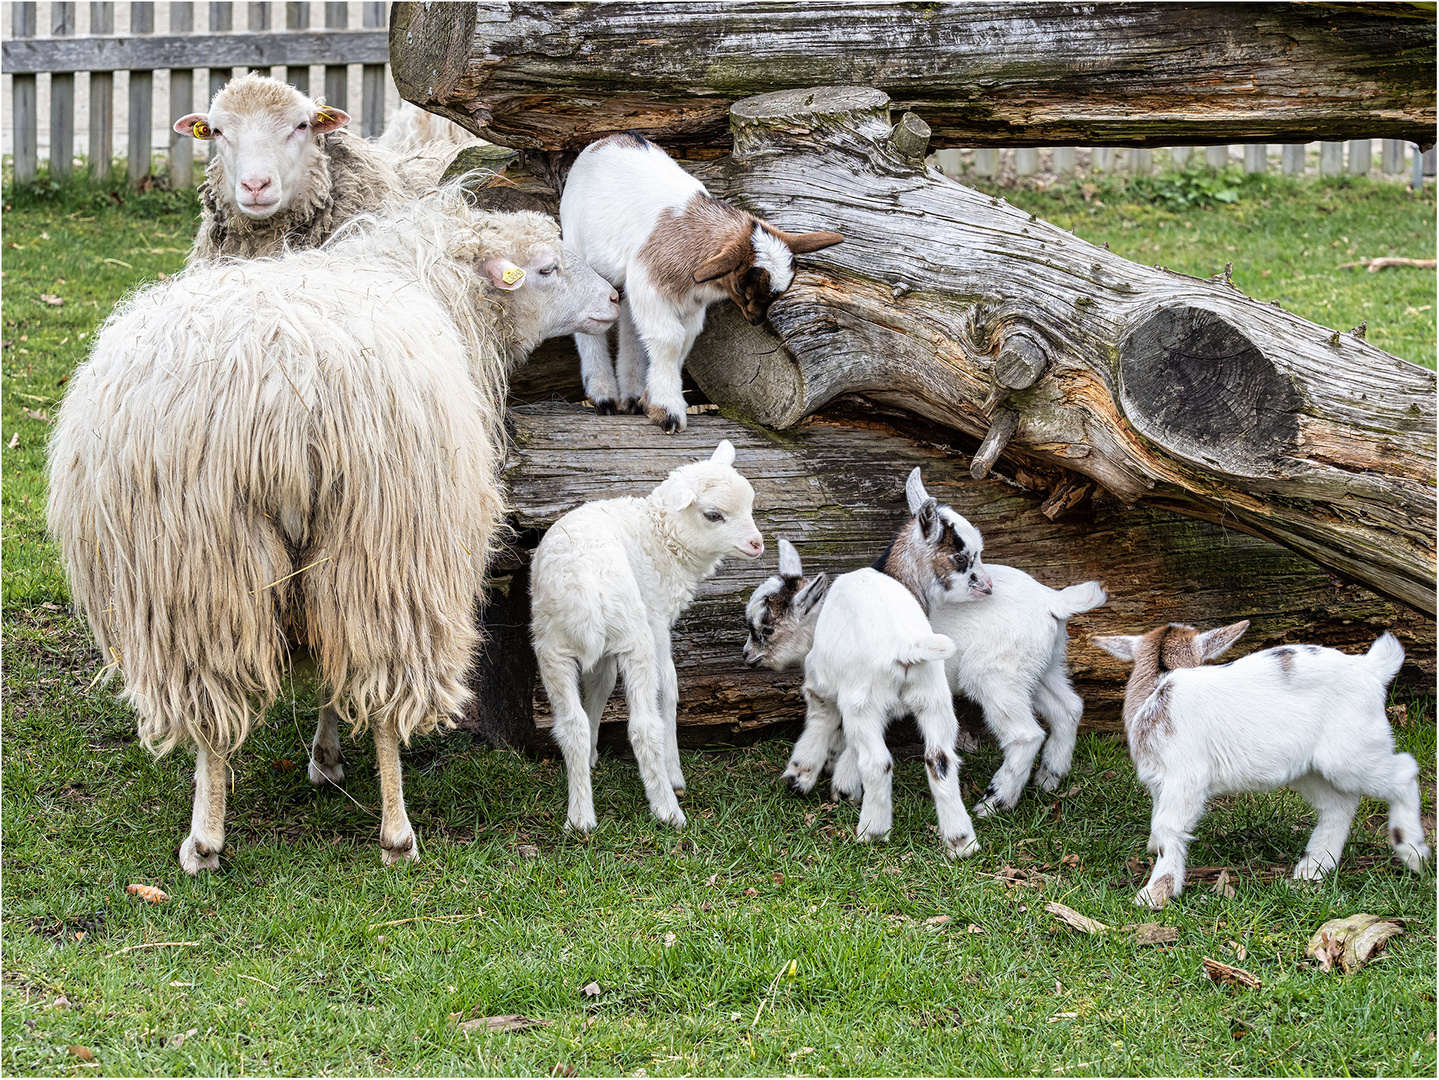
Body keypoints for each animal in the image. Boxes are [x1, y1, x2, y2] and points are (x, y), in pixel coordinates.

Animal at [43, 185, 618, 874]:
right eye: (547, 269)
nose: (616, 299)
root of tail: (276, 396)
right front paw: (331, 759)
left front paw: (321, 756)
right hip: (385, 544)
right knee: (387, 693)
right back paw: (397, 833)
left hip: (197, 568)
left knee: (211, 705)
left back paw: (205, 839)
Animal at [529, 442, 771, 834]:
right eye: (713, 515)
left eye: (750, 504)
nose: (756, 544)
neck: (661, 536)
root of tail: (583, 583)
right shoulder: (656, 619)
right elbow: (667, 687)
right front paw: (674, 773)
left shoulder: (603, 649)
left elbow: (601, 685)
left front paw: (593, 752)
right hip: (634, 633)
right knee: (643, 725)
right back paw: (667, 808)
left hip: (553, 646)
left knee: (571, 726)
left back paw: (580, 816)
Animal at [558, 134, 840, 434]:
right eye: (741, 288)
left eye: (777, 294)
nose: (755, 320)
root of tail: (610, 138)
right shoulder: (648, 284)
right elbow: (670, 339)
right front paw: (668, 411)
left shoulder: (688, 302)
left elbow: (685, 339)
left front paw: (651, 398)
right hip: (577, 245)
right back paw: (603, 395)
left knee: (630, 323)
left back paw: (632, 395)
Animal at [1087, 621, 1427, 908]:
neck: (1156, 693)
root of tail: (1370, 668)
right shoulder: (1160, 782)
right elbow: (1158, 823)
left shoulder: (1185, 778)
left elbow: (1168, 827)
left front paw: (1155, 894)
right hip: (1311, 769)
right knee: (1339, 806)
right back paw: (1312, 869)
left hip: (1351, 753)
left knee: (1405, 771)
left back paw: (1412, 853)